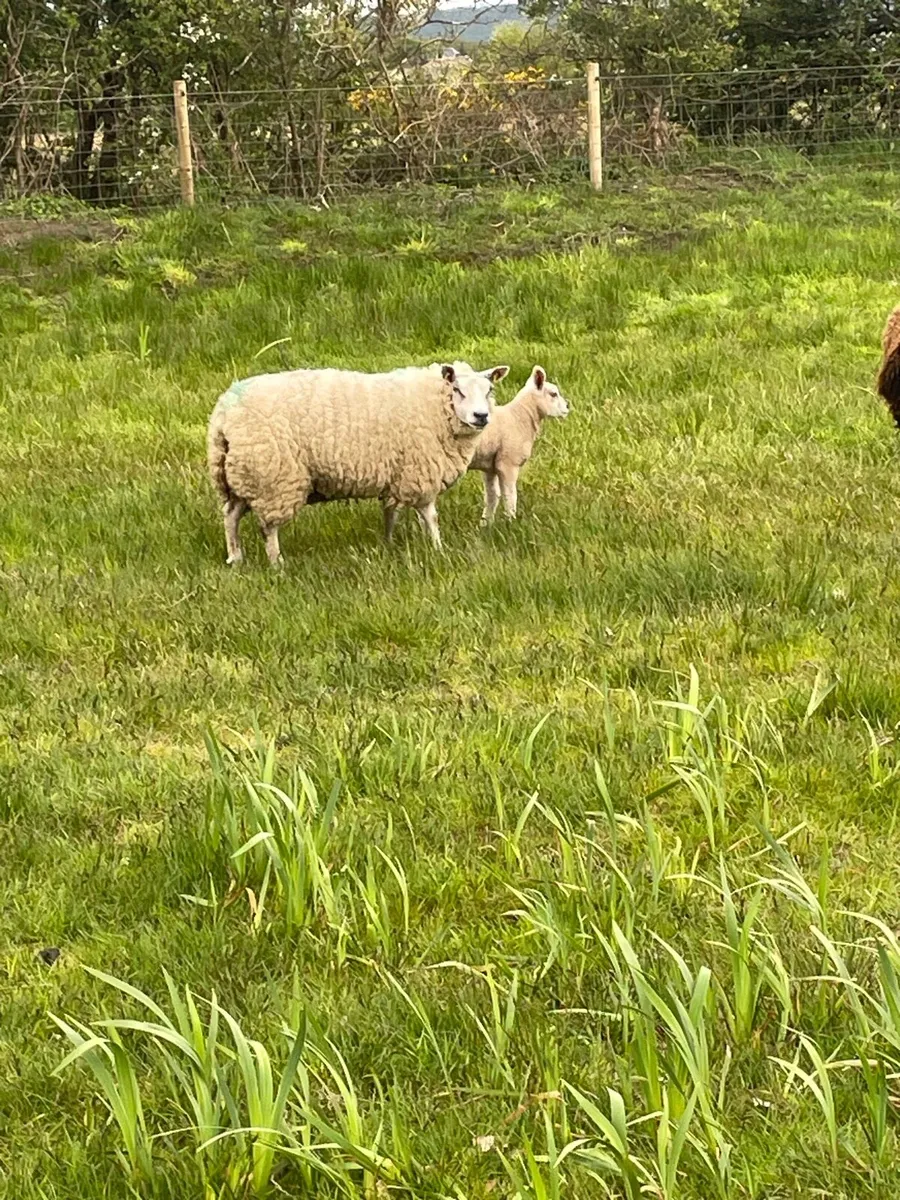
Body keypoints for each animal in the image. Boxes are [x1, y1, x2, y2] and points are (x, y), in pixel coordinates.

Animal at [207, 360, 509, 566]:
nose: (481, 416)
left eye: (490, 389)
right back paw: (276, 563)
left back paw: (235, 558)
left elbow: (391, 512)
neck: (435, 406)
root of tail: (223, 413)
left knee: (230, 515)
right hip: (273, 478)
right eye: (457, 390)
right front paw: (437, 547)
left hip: (240, 475)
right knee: (268, 528)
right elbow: (430, 515)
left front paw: (389, 543)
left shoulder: (397, 475)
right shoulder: (420, 472)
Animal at [467, 365, 569, 523]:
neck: (519, 416)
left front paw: (486, 524)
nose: (567, 406)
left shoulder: (489, 466)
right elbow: (510, 496)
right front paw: (512, 522)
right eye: (553, 394)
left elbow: (492, 497)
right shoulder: (507, 463)